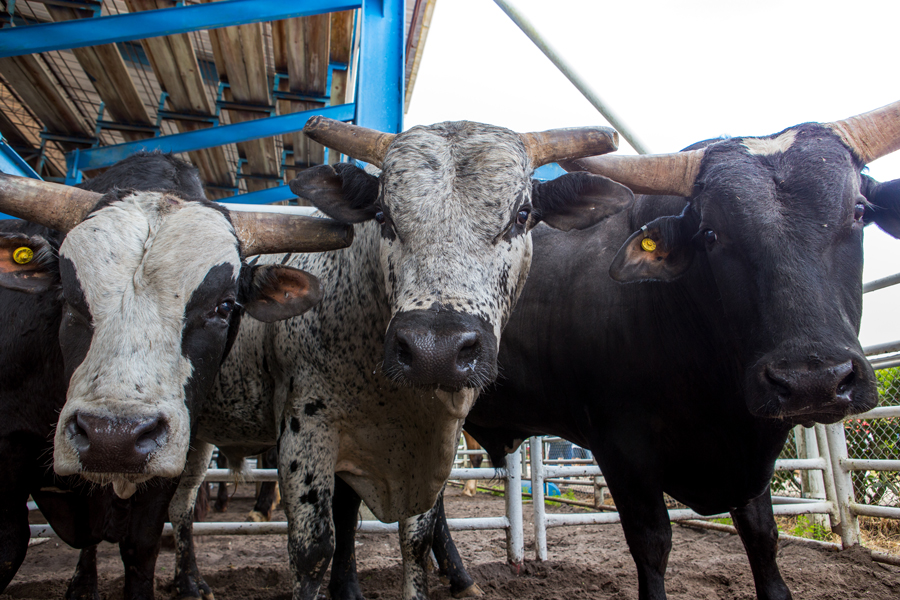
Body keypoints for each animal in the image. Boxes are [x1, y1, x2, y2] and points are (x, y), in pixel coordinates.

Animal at [116, 117, 641, 600]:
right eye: (385, 214)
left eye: (523, 213)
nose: (436, 350)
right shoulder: (306, 432)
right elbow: (313, 550)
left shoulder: (431, 445)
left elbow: (414, 541)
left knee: (183, 506)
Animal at [410, 100, 900, 600]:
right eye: (711, 234)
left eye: (858, 212)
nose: (812, 380)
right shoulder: (621, 448)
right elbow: (652, 542)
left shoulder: (750, 455)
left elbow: (762, 536)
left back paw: (461, 578)